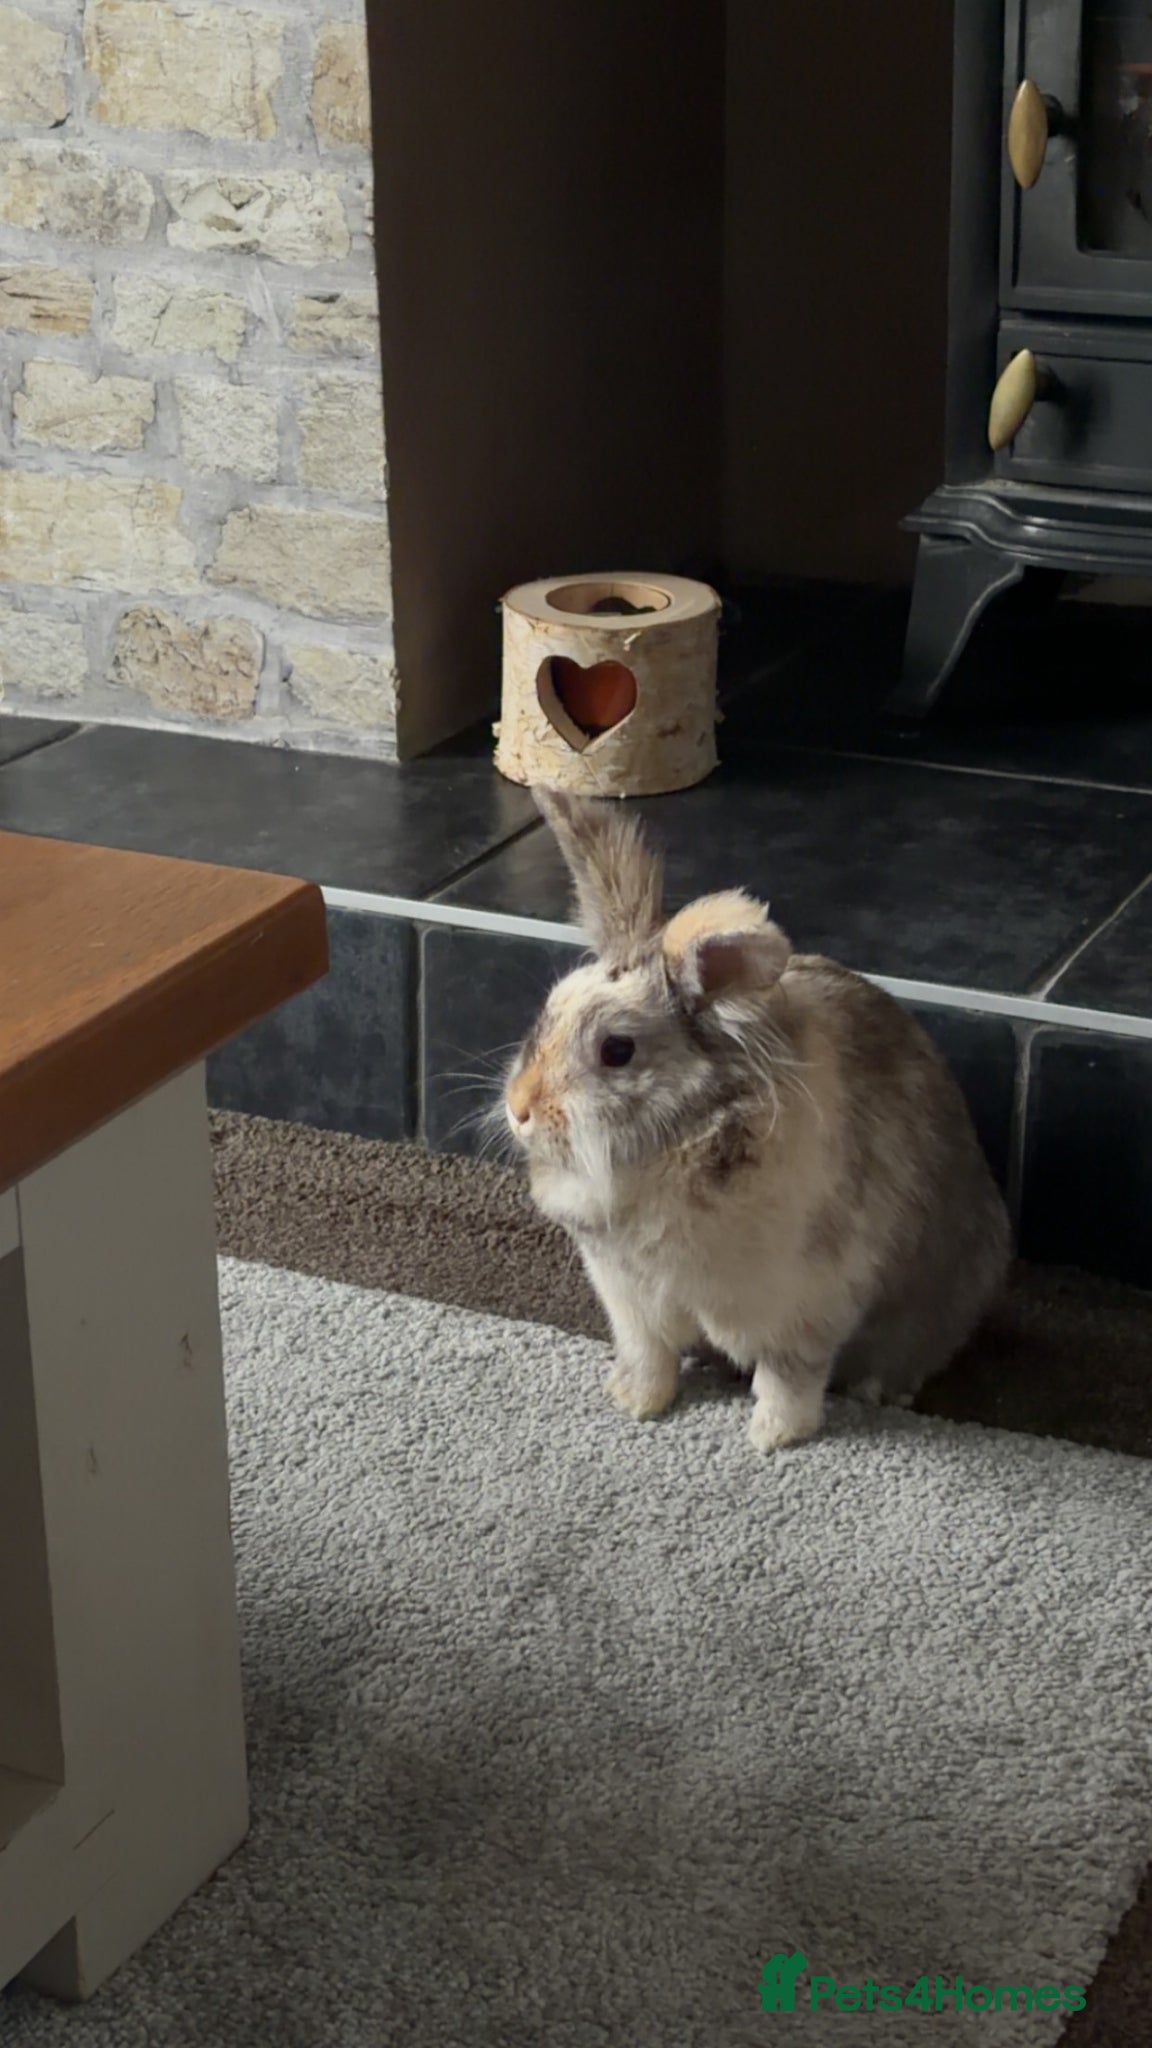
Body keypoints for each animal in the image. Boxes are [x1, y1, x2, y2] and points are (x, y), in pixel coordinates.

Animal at [503, 788, 1011, 1452]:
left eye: (617, 1050)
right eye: (547, 1011)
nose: (519, 1108)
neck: (676, 1142)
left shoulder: (801, 1309)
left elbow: (788, 1379)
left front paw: (772, 1438)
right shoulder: (630, 1301)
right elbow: (650, 1356)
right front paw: (633, 1403)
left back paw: (879, 1390)